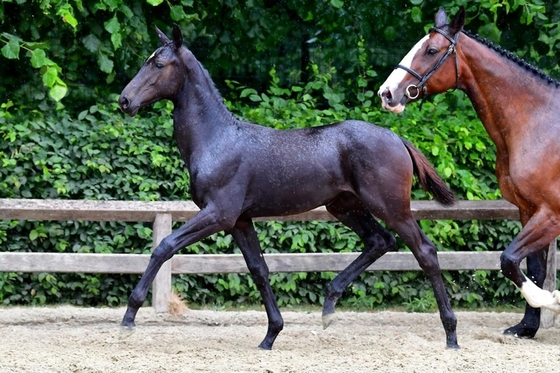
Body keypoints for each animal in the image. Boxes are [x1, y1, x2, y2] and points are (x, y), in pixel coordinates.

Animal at [119, 23, 460, 348]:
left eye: (159, 64)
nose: (125, 100)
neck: (217, 139)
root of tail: (398, 139)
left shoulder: (219, 214)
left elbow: (164, 247)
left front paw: (128, 319)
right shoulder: (240, 221)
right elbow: (259, 269)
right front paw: (271, 335)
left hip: (391, 207)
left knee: (424, 251)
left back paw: (451, 335)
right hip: (345, 207)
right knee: (380, 241)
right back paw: (329, 308)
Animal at [378, 5, 560, 338]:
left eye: (431, 50)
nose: (386, 94)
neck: (539, 123)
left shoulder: (551, 213)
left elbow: (509, 259)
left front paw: (551, 301)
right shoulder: (529, 210)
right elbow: (531, 268)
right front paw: (526, 327)